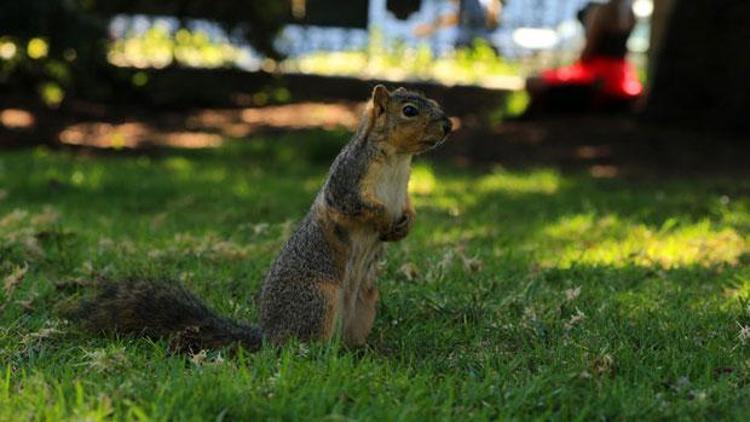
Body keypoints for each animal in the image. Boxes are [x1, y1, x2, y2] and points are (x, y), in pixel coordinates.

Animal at [75, 85, 452, 352]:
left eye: (431, 100)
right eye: (409, 110)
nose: (449, 124)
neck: (397, 159)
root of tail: (268, 334)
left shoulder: (403, 191)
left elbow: (408, 209)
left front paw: (404, 225)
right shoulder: (347, 181)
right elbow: (355, 206)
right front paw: (384, 221)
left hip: (365, 304)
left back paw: (364, 350)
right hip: (317, 300)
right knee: (300, 344)